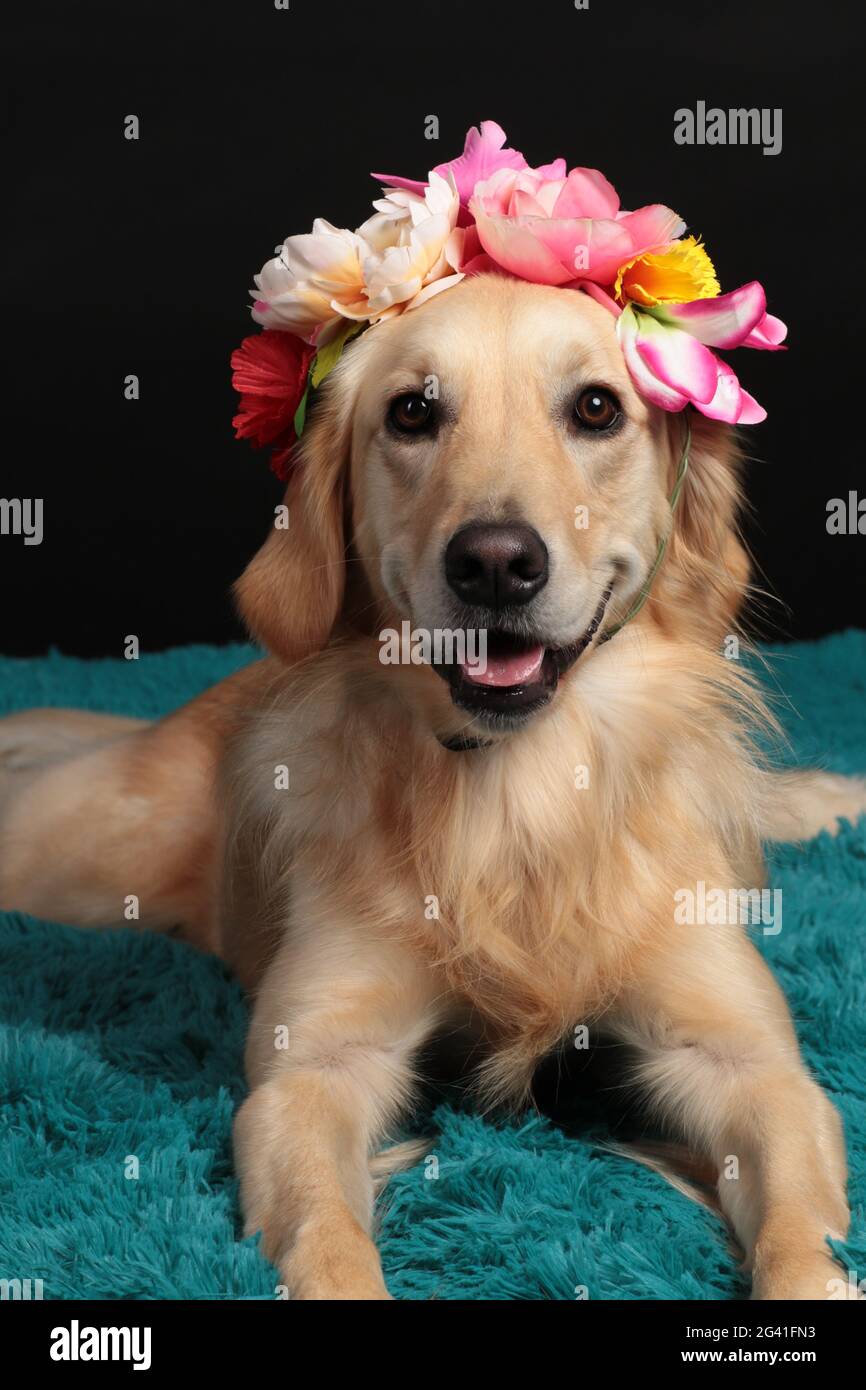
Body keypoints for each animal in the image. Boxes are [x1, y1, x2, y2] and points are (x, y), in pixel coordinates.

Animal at [1, 273, 866, 1301]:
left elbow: (801, 1229)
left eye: (597, 408)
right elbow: (327, 1234)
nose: (495, 562)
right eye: (412, 413)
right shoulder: (315, 1070)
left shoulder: (748, 1063)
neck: (520, 788)